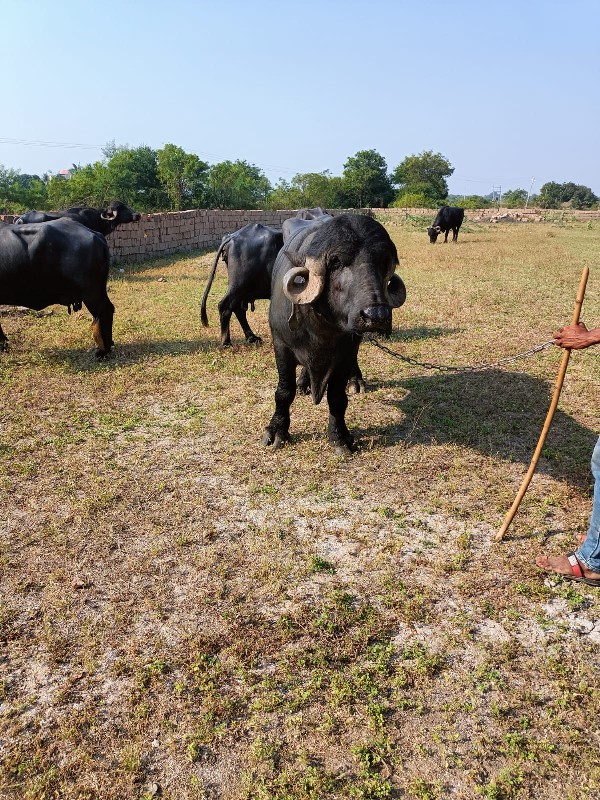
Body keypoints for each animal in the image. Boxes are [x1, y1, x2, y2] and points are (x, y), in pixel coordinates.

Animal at [262, 212, 404, 454]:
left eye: (384, 261)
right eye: (336, 262)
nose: (376, 315)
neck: (321, 331)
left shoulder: (345, 352)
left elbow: (337, 397)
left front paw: (340, 437)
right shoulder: (281, 345)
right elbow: (284, 392)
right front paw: (277, 431)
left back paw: (355, 381)